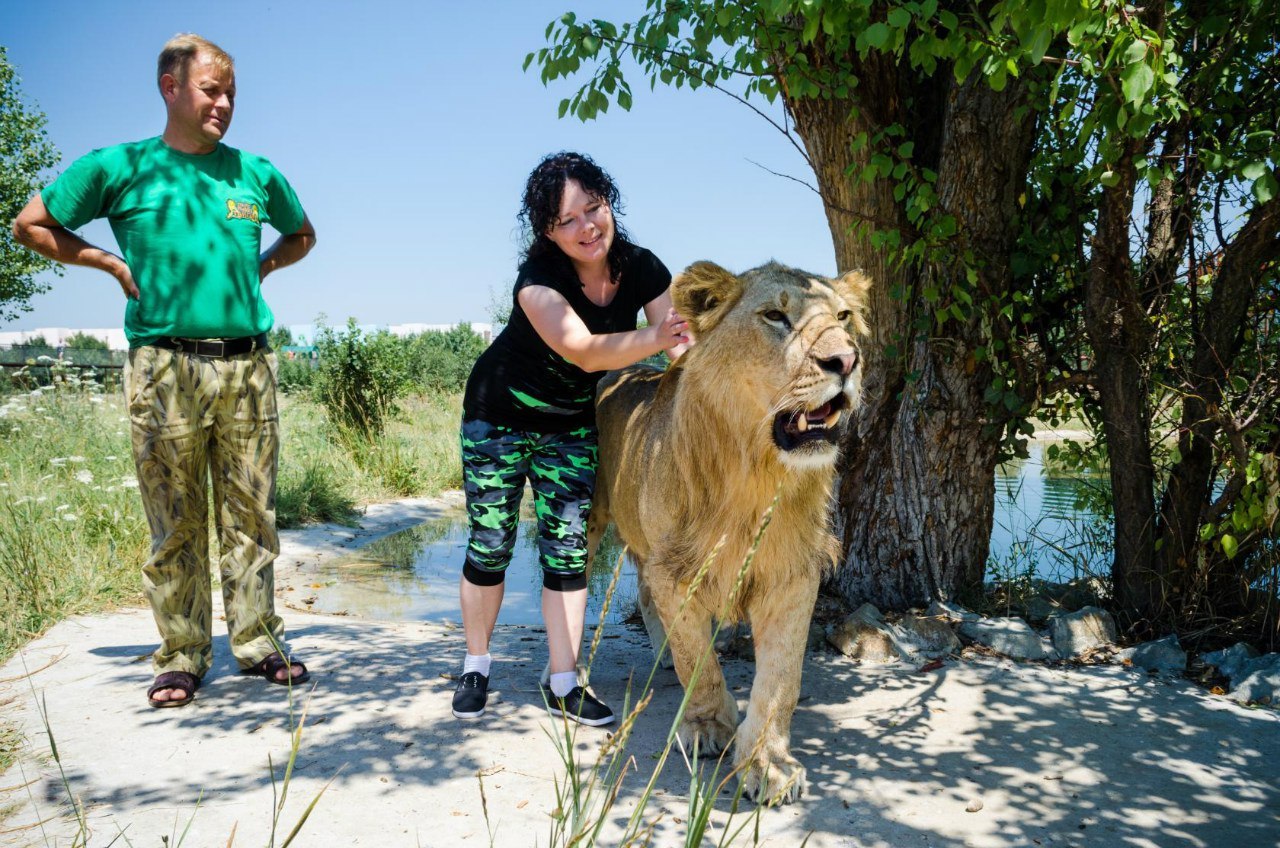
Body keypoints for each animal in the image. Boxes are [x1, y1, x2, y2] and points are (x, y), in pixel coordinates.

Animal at [586, 262, 870, 809]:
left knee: (645, 598)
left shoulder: (792, 574)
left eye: (844, 317)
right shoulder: (677, 569)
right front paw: (706, 726)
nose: (846, 360)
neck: (755, 473)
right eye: (776, 316)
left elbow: (781, 679)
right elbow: (699, 658)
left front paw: (767, 763)